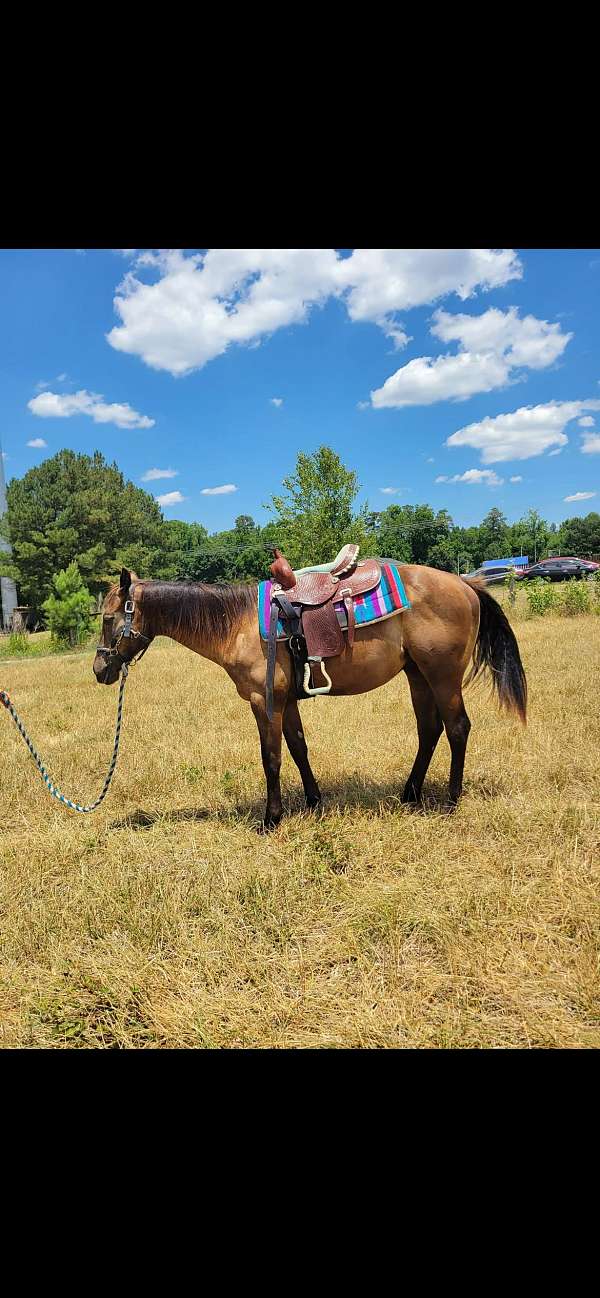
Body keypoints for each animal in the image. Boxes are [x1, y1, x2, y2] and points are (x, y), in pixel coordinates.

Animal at [93, 563, 527, 828]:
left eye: (108, 618)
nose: (99, 669)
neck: (238, 623)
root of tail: (465, 584)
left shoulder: (264, 702)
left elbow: (271, 757)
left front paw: (271, 818)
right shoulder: (286, 702)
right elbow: (299, 748)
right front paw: (314, 802)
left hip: (443, 676)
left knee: (457, 728)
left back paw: (451, 801)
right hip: (418, 675)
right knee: (429, 730)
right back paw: (409, 794)